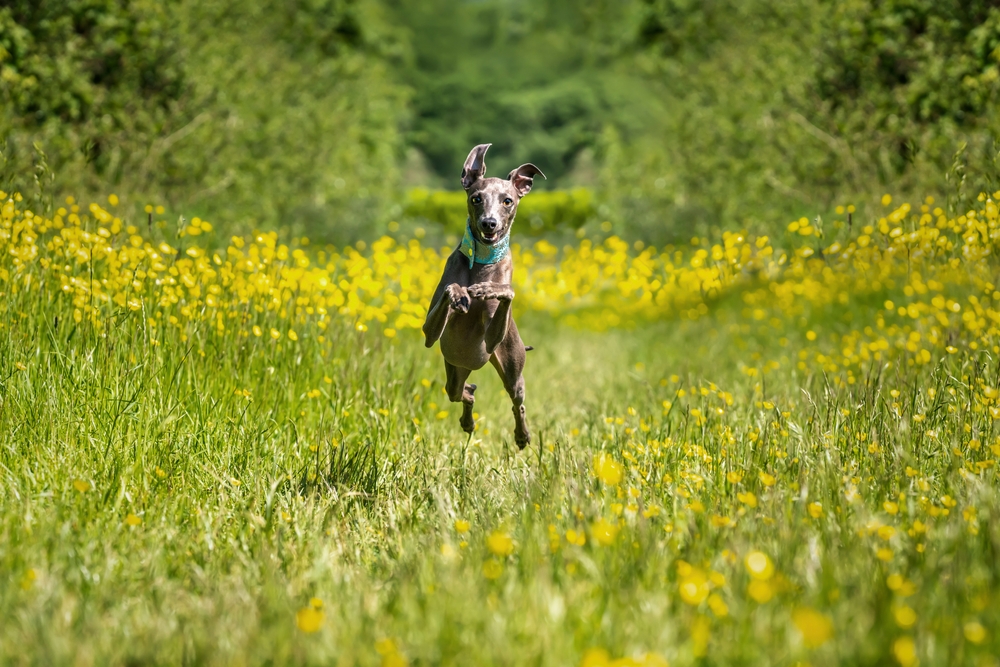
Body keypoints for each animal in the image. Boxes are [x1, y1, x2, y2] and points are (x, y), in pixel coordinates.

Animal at [422, 144, 548, 452]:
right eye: (476, 198)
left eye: (507, 201)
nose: (489, 223)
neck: (481, 262)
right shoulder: (430, 331)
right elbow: (449, 293)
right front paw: (460, 293)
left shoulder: (493, 339)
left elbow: (506, 292)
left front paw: (489, 290)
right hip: (455, 368)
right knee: (462, 392)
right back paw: (468, 416)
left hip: (511, 368)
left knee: (517, 402)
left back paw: (522, 436)